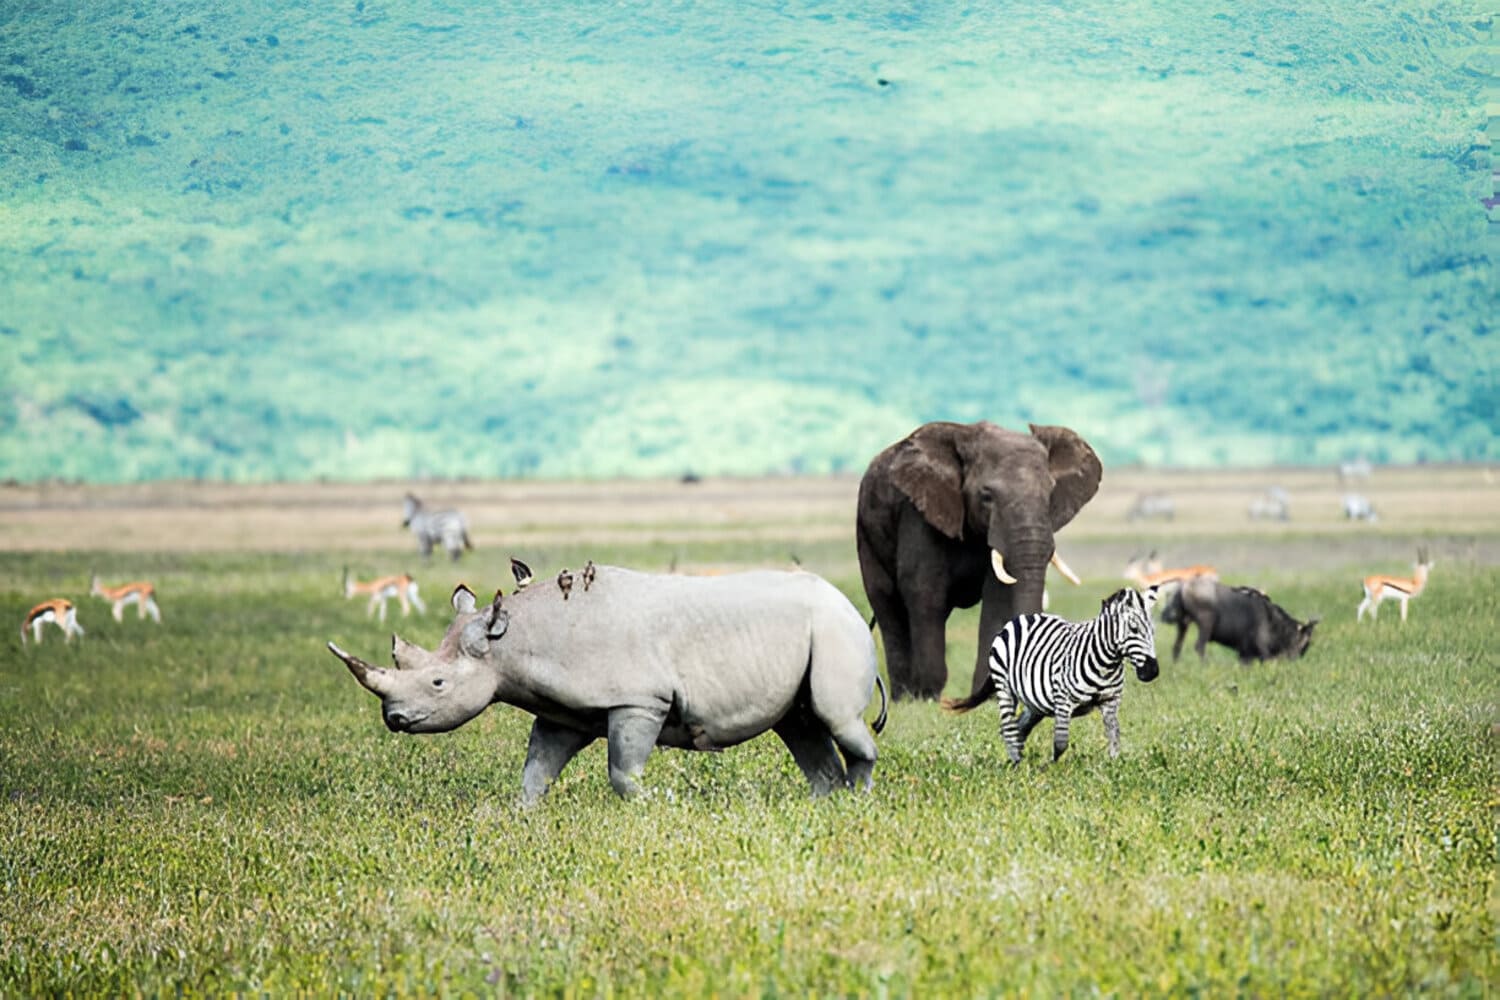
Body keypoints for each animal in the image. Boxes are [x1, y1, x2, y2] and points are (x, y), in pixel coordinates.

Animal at [858, 419, 1104, 701]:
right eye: (986, 496)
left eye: (1051, 494)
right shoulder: (918, 512)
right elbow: (924, 590)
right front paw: (929, 699)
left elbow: (997, 598)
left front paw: (987, 696)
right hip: (865, 531)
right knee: (887, 604)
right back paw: (905, 699)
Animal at [942, 581, 1164, 761]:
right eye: (1134, 630)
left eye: (1153, 631)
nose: (1152, 671)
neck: (1105, 664)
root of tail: (1018, 619)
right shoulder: (1063, 702)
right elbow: (1061, 743)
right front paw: (1051, 769)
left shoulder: (1111, 701)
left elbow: (1115, 737)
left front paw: (1113, 767)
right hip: (1005, 688)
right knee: (1008, 727)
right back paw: (1015, 764)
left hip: (1035, 703)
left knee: (1019, 728)